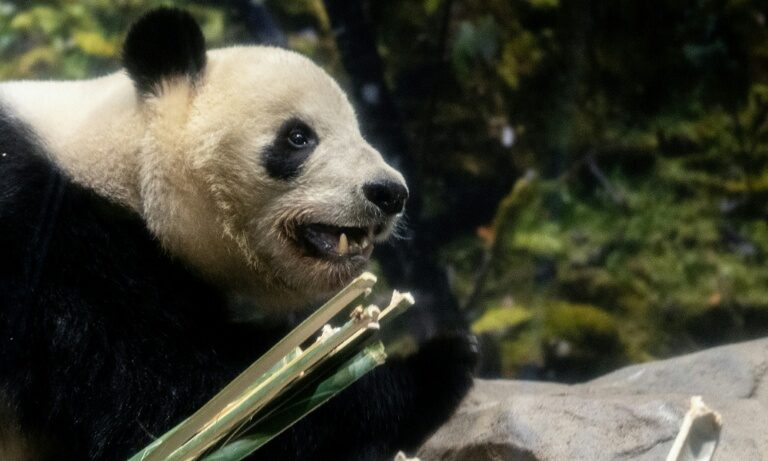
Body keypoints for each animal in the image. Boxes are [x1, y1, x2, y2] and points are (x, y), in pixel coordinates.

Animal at [0, 8, 475, 461]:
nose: (389, 192)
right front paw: (434, 365)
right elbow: (177, 394)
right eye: (298, 136)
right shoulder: (46, 240)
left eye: (358, 131)